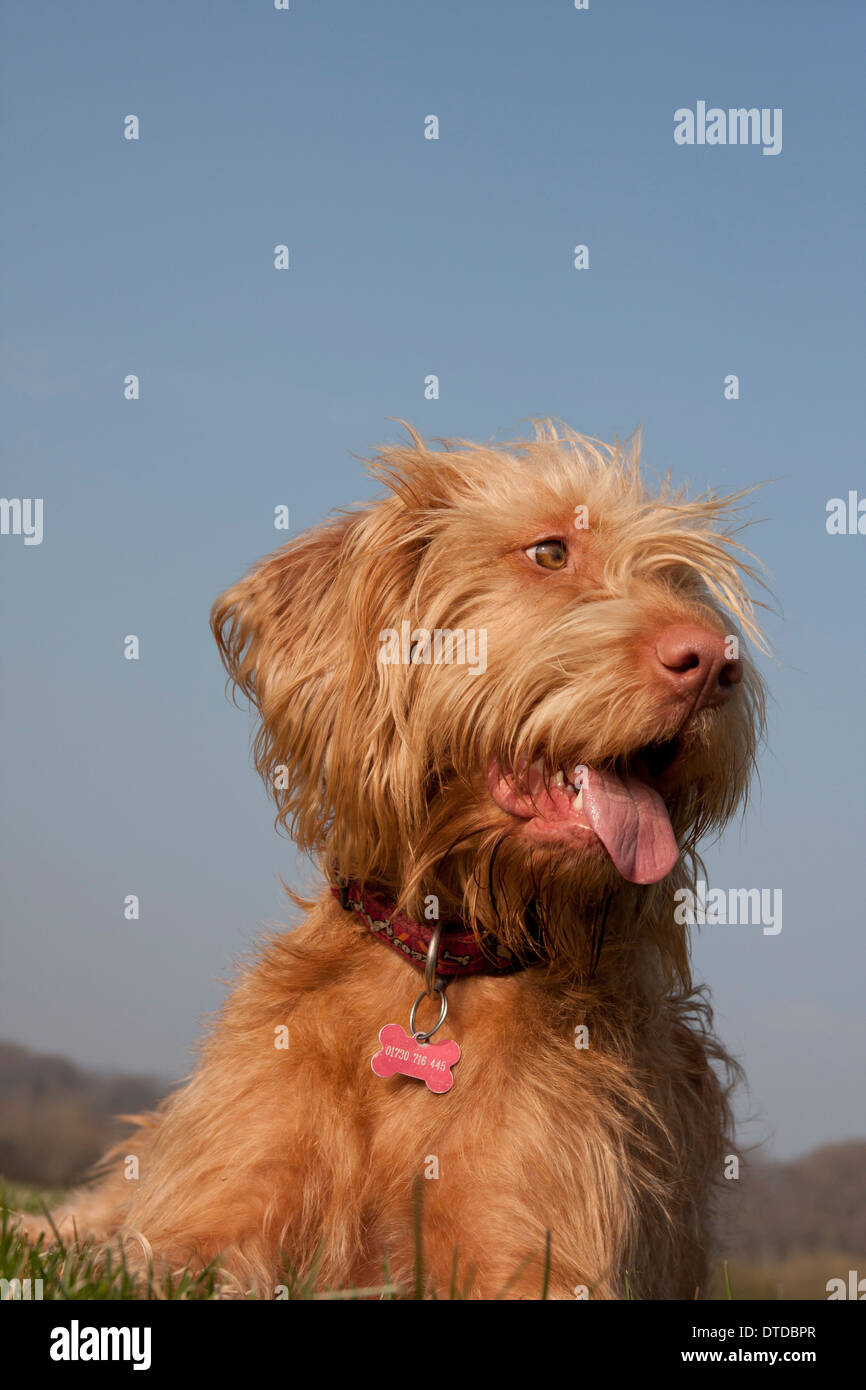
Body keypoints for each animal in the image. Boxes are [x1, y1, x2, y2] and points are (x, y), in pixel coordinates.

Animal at [30, 425, 767, 1301]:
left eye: (681, 579)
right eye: (549, 551)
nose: (716, 663)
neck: (448, 951)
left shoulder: (539, 1257)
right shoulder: (198, 1225)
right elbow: (150, 1256)